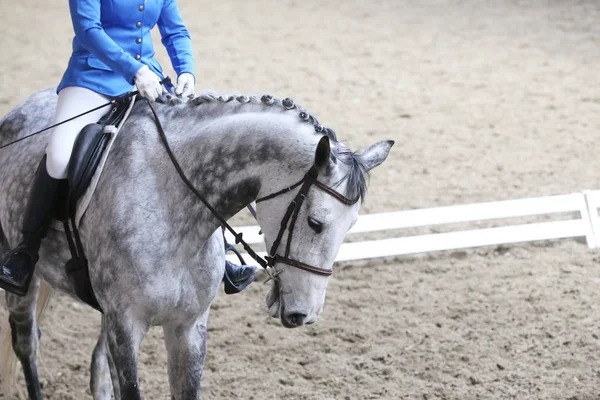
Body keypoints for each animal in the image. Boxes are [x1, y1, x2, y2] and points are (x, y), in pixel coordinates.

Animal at [0, 88, 396, 400]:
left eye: (352, 226)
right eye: (315, 222)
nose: (305, 315)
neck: (172, 204)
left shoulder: (188, 328)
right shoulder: (126, 326)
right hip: (27, 280)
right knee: (27, 344)